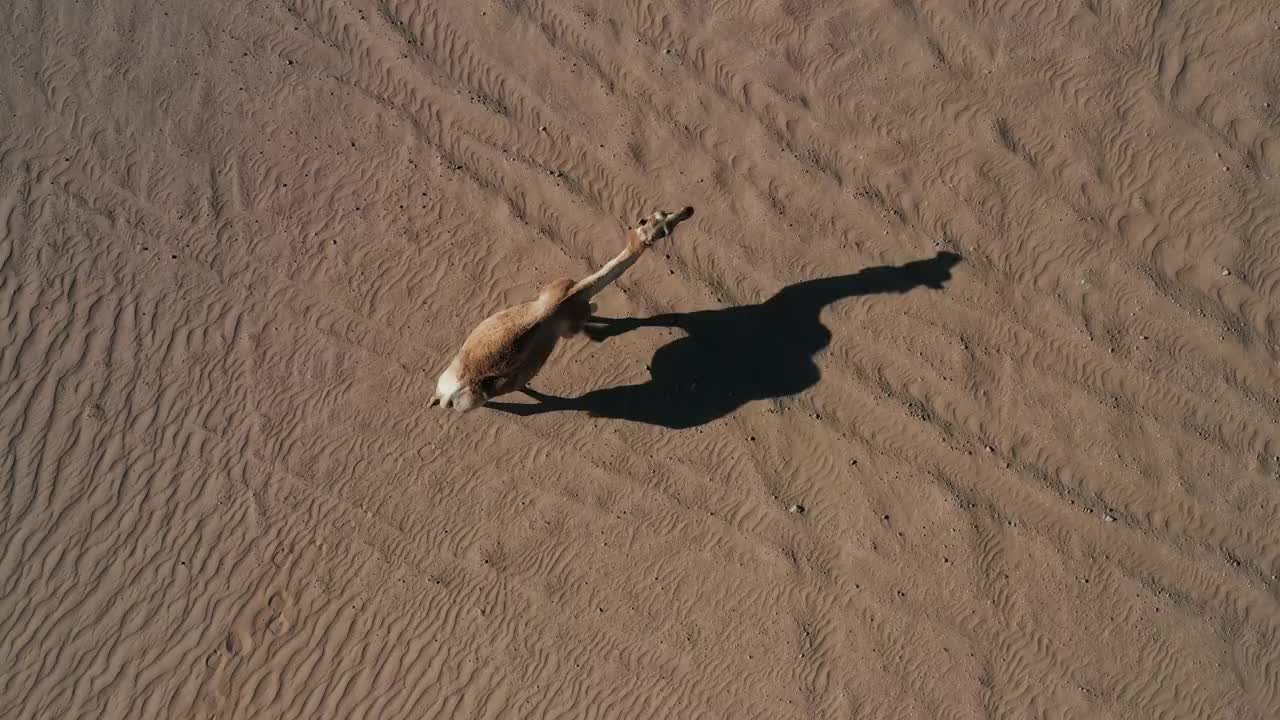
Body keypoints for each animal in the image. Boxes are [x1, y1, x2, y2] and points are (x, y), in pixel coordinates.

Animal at [430, 204, 696, 412]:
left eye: (664, 213)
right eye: (664, 229)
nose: (689, 210)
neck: (573, 293)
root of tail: (449, 393)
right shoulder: (572, 326)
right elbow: (597, 318)